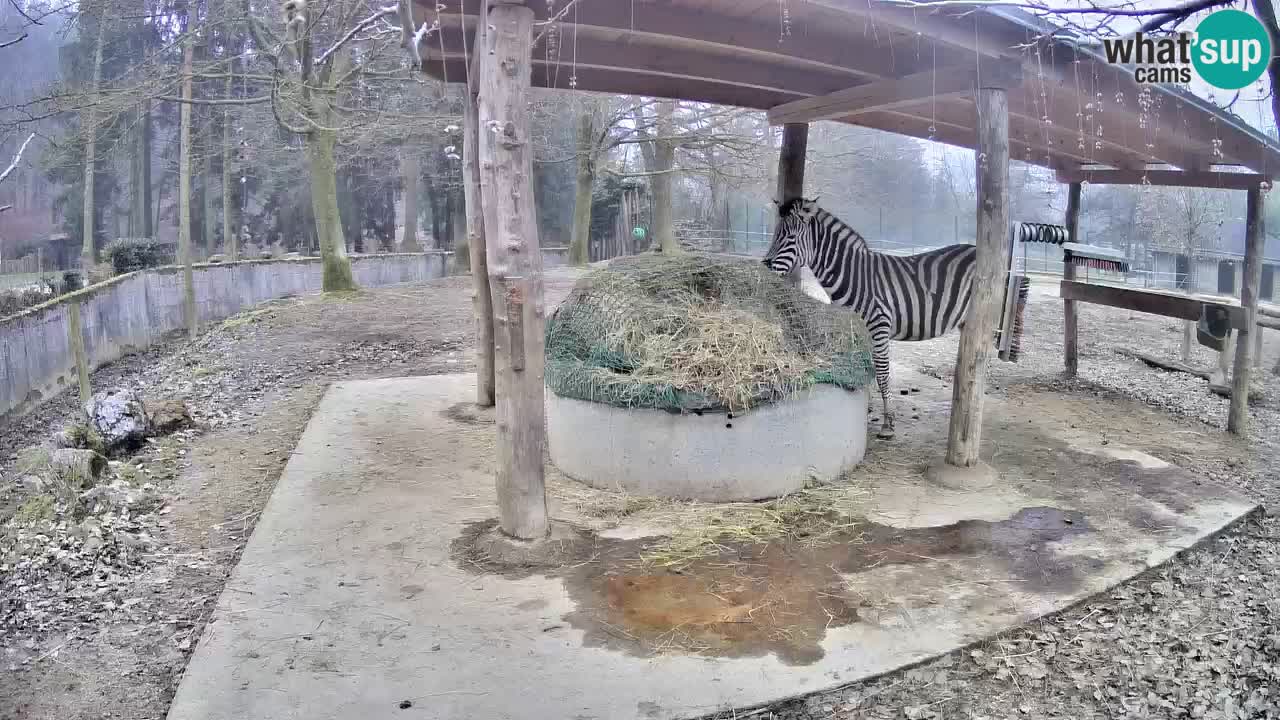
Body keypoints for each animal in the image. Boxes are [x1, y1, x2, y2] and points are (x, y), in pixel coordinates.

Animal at [757, 198, 977, 440]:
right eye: (775, 234)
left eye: (790, 237)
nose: (764, 266)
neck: (853, 276)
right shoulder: (858, 327)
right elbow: (867, 368)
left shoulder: (878, 325)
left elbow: (882, 373)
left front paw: (887, 424)